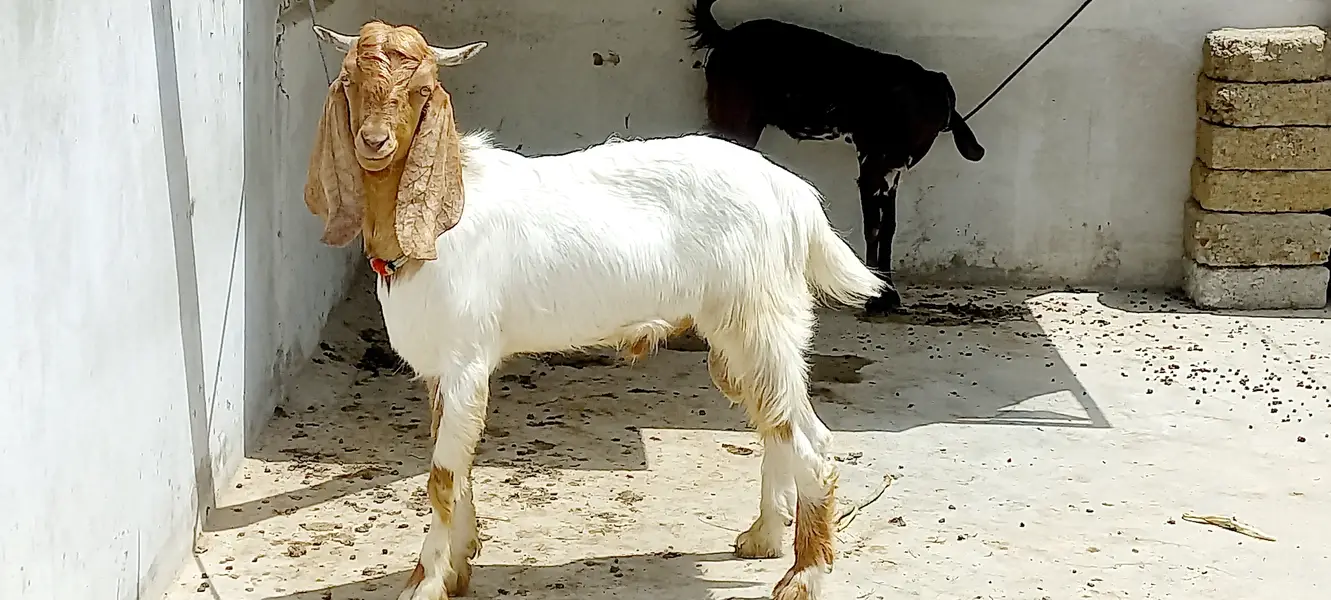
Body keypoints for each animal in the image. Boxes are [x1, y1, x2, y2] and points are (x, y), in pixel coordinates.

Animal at [307, 20, 885, 600]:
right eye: (349, 81)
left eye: (423, 88)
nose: (374, 142)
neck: (440, 216)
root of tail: (792, 193)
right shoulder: (438, 369)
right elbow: (459, 469)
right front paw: (459, 564)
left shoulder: (467, 360)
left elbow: (442, 478)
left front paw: (424, 581)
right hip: (739, 334)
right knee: (777, 426)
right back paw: (763, 536)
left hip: (760, 320)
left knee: (810, 441)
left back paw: (804, 575)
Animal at [684, 0, 987, 314]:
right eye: (900, 106)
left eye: (934, 119)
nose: (898, 151)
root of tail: (725, 36)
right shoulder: (871, 169)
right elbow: (873, 228)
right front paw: (877, 295)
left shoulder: (889, 174)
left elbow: (888, 228)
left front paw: (889, 294)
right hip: (736, 120)